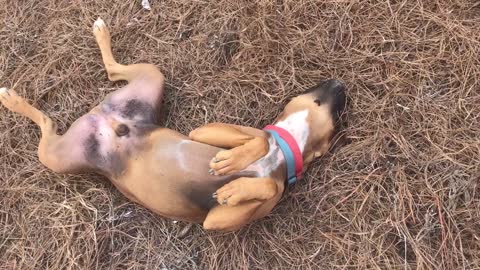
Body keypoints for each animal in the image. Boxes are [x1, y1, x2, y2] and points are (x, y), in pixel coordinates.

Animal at [0, 18, 344, 230]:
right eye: (319, 101)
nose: (341, 84)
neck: (280, 155)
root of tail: (105, 117)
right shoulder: (205, 132)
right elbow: (257, 138)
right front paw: (231, 163)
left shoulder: (217, 219)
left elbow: (265, 184)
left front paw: (235, 188)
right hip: (57, 158)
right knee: (46, 121)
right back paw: (12, 99)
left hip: (142, 83)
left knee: (105, 75)